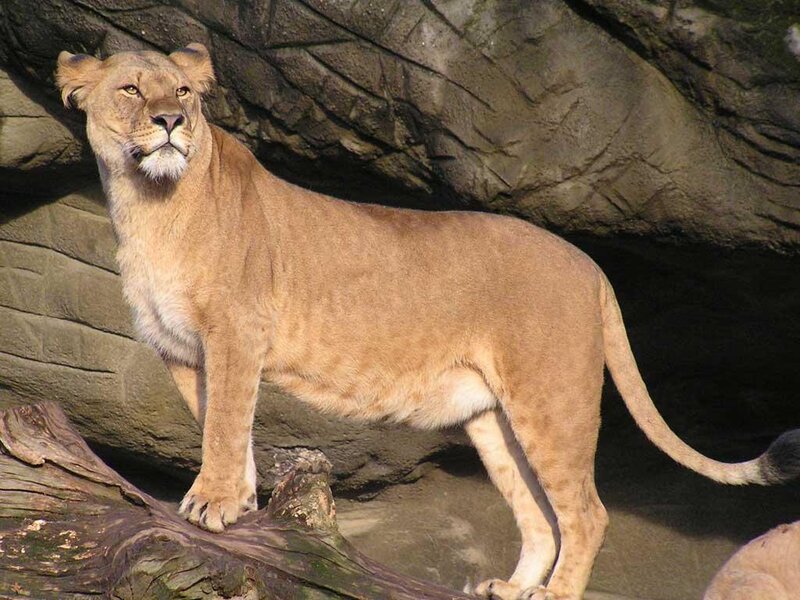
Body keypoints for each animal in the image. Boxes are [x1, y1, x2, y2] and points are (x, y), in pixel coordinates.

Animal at [55, 44, 800, 600]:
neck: (149, 205)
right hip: (493, 418)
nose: (170, 123)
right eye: (130, 89)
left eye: (183, 91)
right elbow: (223, 426)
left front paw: (211, 505)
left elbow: (222, 427)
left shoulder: (236, 334)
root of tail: (589, 263)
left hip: (551, 397)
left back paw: (553, 592)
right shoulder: (187, 353)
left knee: (586, 514)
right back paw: (512, 588)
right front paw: (237, 503)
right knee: (539, 516)